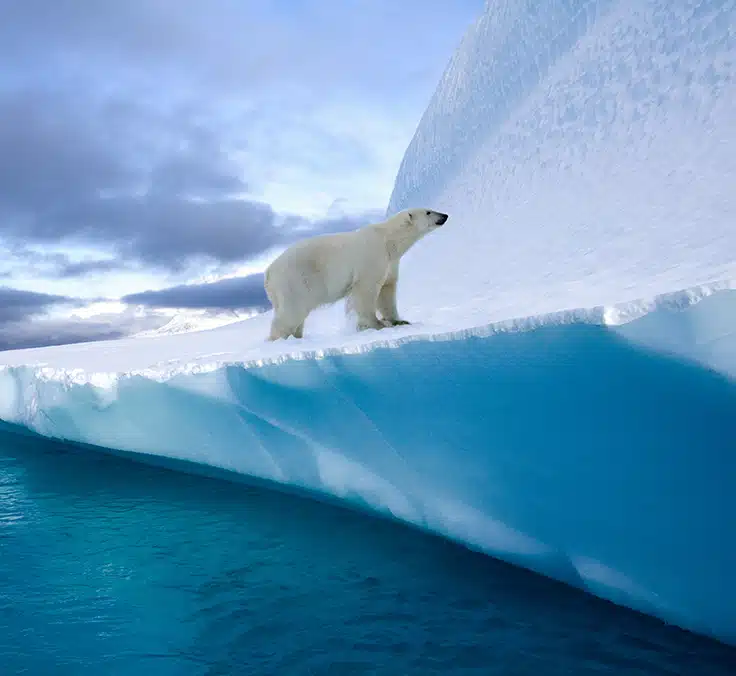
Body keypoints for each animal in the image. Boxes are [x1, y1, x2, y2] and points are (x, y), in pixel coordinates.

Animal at [264, 209, 448, 340]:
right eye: (428, 212)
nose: (445, 215)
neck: (388, 240)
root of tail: (269, 273)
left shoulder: (390, 262)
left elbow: (387, 290)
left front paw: (399, 321)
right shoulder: (372, 257)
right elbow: (366, 290)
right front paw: (377, 324)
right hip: (296, 280)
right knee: (292, 312)